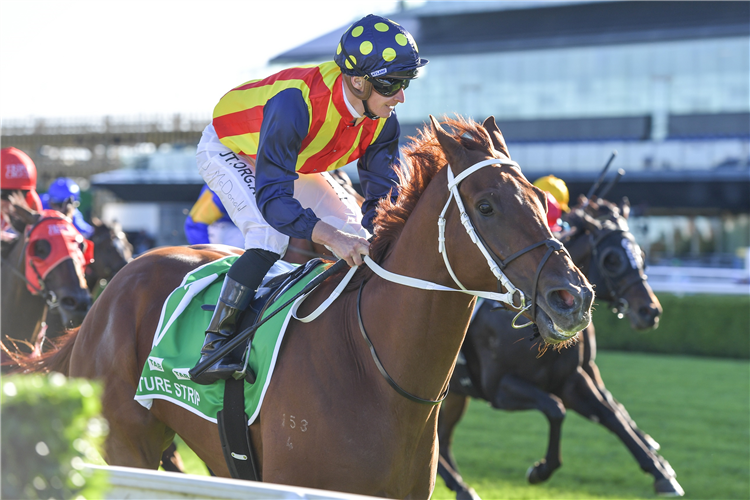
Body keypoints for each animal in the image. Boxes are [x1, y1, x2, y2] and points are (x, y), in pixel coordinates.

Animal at [7, 116, 592, 496]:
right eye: (487, 206)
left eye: (542, 201)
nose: (573, 296)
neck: (376, 372)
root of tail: (108, 294)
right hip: (124, 445)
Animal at [434, 194, 688, 496]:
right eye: (611, 259)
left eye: (641, 255)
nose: (650, 311)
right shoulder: (498, 388)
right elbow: (556, 409)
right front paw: (540, 470)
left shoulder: (572, 378)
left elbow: (611, 413)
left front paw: (660, 471)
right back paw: (459, 485)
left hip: (455, 394)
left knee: (442, 436)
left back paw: (458, 484)